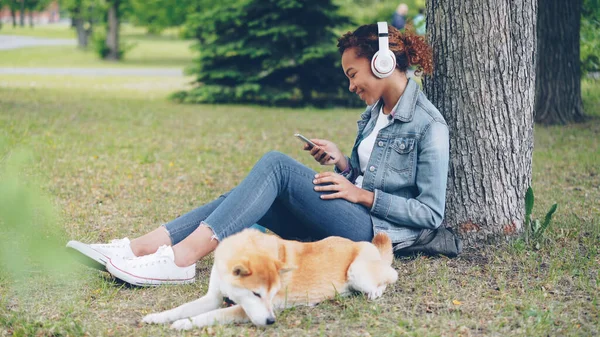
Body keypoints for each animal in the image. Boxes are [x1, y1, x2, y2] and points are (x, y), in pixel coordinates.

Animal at [142, 228, 398, 328]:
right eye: (256, 294)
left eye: (273, 294)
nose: (271, 321)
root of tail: (365, 244)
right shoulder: (213, 297)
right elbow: (182, 308)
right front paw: (158, 317)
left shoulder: (243, 310)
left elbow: (211, 315)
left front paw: (184, 324)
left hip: (357, 272)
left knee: (390, 276)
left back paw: (375, 291)